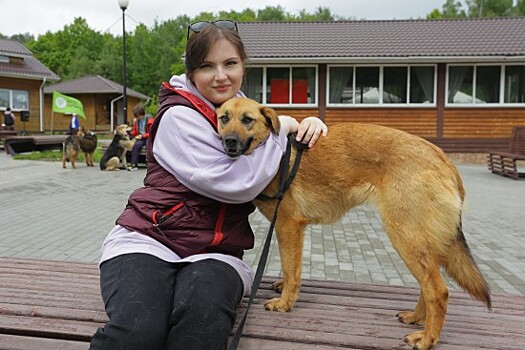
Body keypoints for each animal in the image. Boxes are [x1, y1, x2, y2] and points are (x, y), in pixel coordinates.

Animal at [215, 97, 490, 350]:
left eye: (247, 120)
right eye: (224, 118)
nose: (229, 141)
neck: (277, 156)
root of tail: (442, 158)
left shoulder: (287, 226)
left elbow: (291, 268)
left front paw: (285, 303)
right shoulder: (292, 230)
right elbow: (290, 264)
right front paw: (284, 288)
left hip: (405, 237)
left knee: (438, 290)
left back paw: (427, 338)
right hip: (417, 242)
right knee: (428, 285)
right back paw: (416, 318)